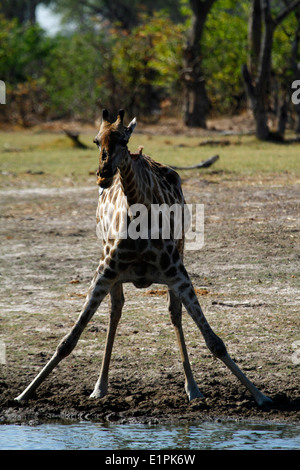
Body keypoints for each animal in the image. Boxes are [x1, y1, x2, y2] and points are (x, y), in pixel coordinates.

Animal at [16, 110, 274, 408]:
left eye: (124, 139)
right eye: (95, 141)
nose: (103, 176)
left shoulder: (178, 273)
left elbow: (214, 341)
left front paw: (260, 395)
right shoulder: (103, 272)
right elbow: (67, 341)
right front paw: (23, 394)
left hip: (179, 257)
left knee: (174, 313)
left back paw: (192, 388)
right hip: (111, 267)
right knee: (116, 311)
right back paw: (100, 387)